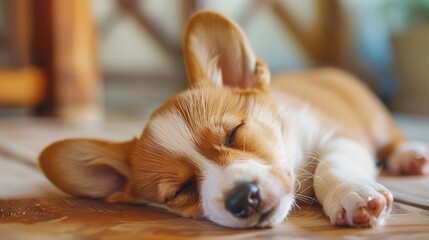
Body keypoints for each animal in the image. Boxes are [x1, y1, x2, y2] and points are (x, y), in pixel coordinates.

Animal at [37, 10, 428, 229]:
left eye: (233, 134)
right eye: (180, 191)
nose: (244, 198)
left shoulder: (338, 135)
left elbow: (328, 168)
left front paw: (351, 195)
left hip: (375, 117)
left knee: (393, 136)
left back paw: (410, 155)